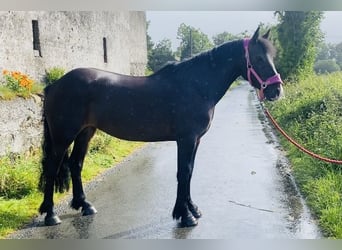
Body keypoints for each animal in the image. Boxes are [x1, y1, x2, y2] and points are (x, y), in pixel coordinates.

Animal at [38, 26, 284, 227]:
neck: (195, 85)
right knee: (52, 167)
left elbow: (190, 172)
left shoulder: (195, 140)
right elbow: (183, 172)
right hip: (63, 137)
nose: (276, 91)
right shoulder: (186, 139)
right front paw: (185, 216)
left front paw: (192, 209)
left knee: (76, 164)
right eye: (259, 58)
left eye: (272, 56)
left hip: (85, 132)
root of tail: (55, 85)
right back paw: (51, 215)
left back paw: (85, 205)